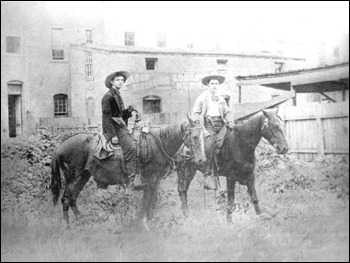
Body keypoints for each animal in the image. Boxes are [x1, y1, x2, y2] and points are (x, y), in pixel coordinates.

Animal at [50, 116, 206, 229]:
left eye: (204, 136)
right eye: (194, 136)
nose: (201, 160)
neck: (157, 144)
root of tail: (60, 147)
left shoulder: (156, 181)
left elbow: (152, 202)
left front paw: (149, 222)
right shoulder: (150, 181)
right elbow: (146, 202)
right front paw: (144, 224)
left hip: (84, 176)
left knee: (73, 198)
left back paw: (81, 220)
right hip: (73, 177)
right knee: (66, 199)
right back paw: (67, 226)